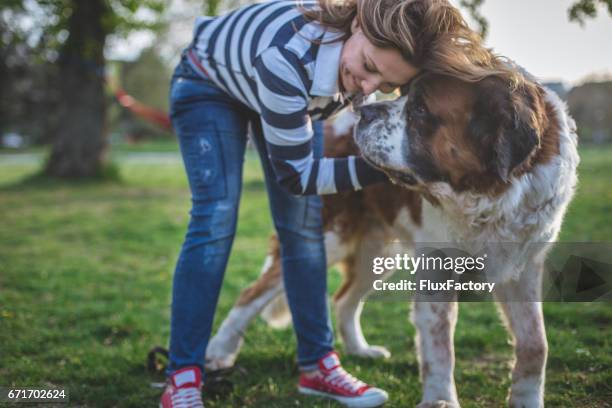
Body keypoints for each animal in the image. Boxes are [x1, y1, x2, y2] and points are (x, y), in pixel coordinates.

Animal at [204, 68, 580, 406]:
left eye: (420, 110)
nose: (366, 112)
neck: (488, 193)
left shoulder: (523, 265)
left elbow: (535, 342)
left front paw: (526, 400)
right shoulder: (437, 264)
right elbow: (440, 341)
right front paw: (440, 399)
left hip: (380, 253)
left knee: (344, 299)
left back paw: (360, 351)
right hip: (329, 237)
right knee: (254, 292)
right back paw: (219, 352)